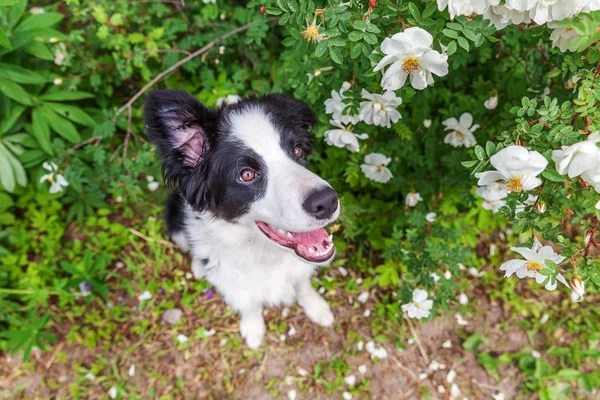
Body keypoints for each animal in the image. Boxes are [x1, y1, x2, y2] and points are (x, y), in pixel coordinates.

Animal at [144, 90, 340, 346]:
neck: (265, 255)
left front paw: (317, 308)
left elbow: (303, 284)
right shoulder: (234, 281)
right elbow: (248, 303)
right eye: (247, 174)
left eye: (298, 150)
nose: (327, 202)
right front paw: (253, 329)